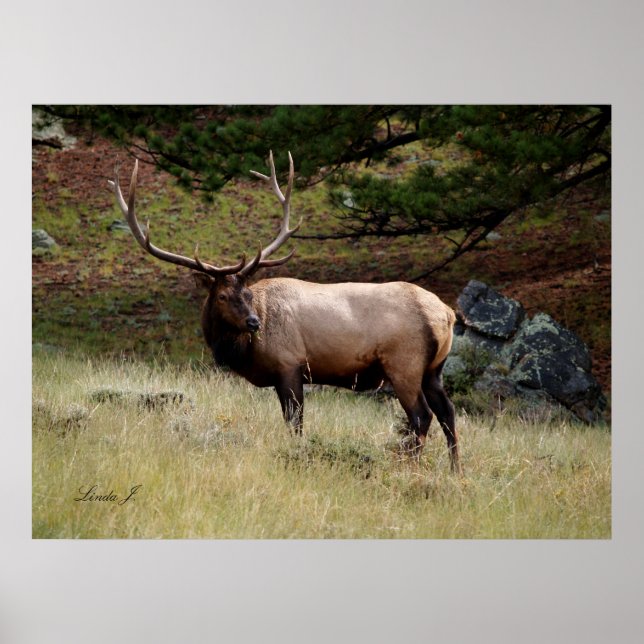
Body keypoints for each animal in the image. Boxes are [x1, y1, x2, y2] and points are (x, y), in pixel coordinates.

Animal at [108, 151, 461, 473]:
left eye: (247, 293)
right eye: (222, 295)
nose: (253, 322)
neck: (244, 351)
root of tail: (447, 314)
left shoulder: (289, 365)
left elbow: (296, 424)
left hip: (404, 364)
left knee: (422, 416)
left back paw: (409, 467)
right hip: (434, 369)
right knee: (448, 412)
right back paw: (455, 471)